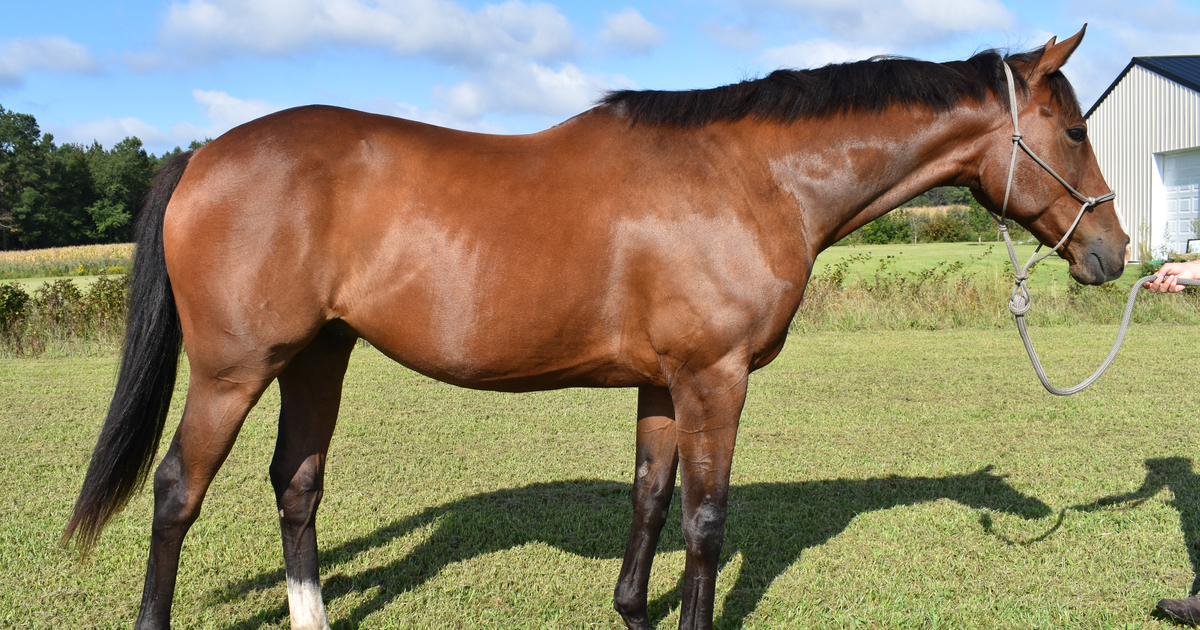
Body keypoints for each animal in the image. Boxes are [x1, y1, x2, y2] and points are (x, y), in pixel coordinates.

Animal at [64, 27, 1126, 630]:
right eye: (1074, 131)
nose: (1112, 253)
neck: (751, 178)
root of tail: (204, 154)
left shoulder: (663, 383)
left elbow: (649, 505)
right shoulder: (713, 378)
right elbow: (703, 522)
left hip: (318, 356)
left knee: (297, 485)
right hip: (234, 371)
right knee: (176, 493)